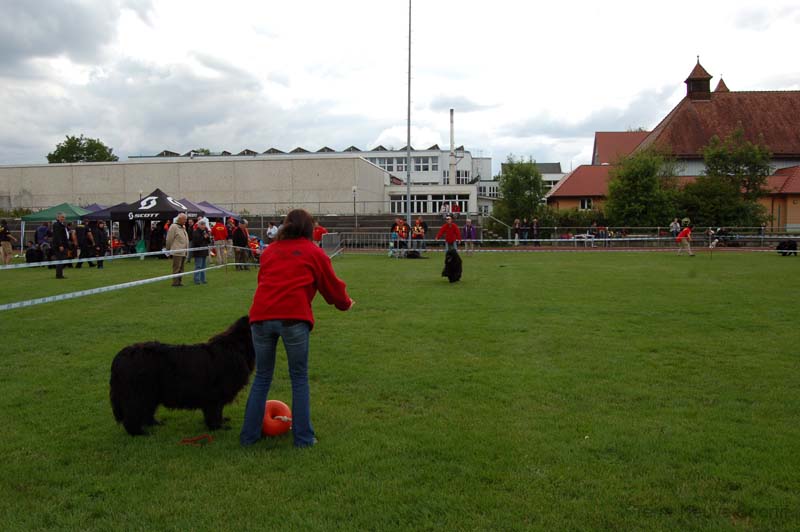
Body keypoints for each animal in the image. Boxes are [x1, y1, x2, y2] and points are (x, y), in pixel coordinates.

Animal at [109, 314, 253, 434]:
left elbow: (219, 411)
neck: (236, 347)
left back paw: (154, 424)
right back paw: (139, 433)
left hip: (150, 393)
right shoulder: (214, 395)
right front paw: (218, 427)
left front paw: (221, 422)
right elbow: (215, 412)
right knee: (132, 415)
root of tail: (119, 357)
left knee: (146, 412)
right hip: (138, 393)